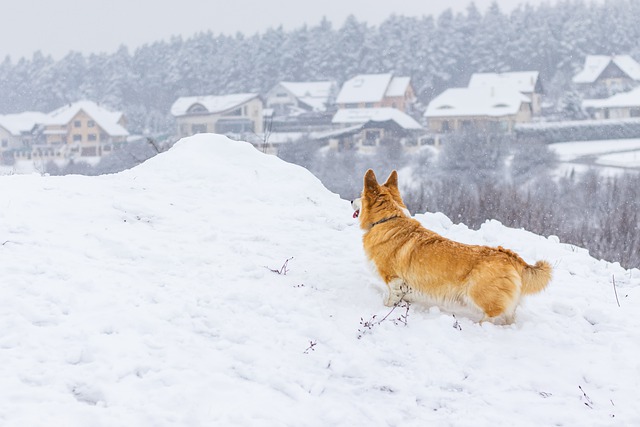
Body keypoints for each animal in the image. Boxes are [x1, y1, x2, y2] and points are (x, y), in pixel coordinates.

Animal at [352, 171, 552, 324]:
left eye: (360, 196)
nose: (351, 201)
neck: (388, 220)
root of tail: (509, 256)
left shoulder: (393, 279)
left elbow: (391, 299)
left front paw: (385, 308)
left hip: (479, 294)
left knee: (493, 313)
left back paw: (479, 325)